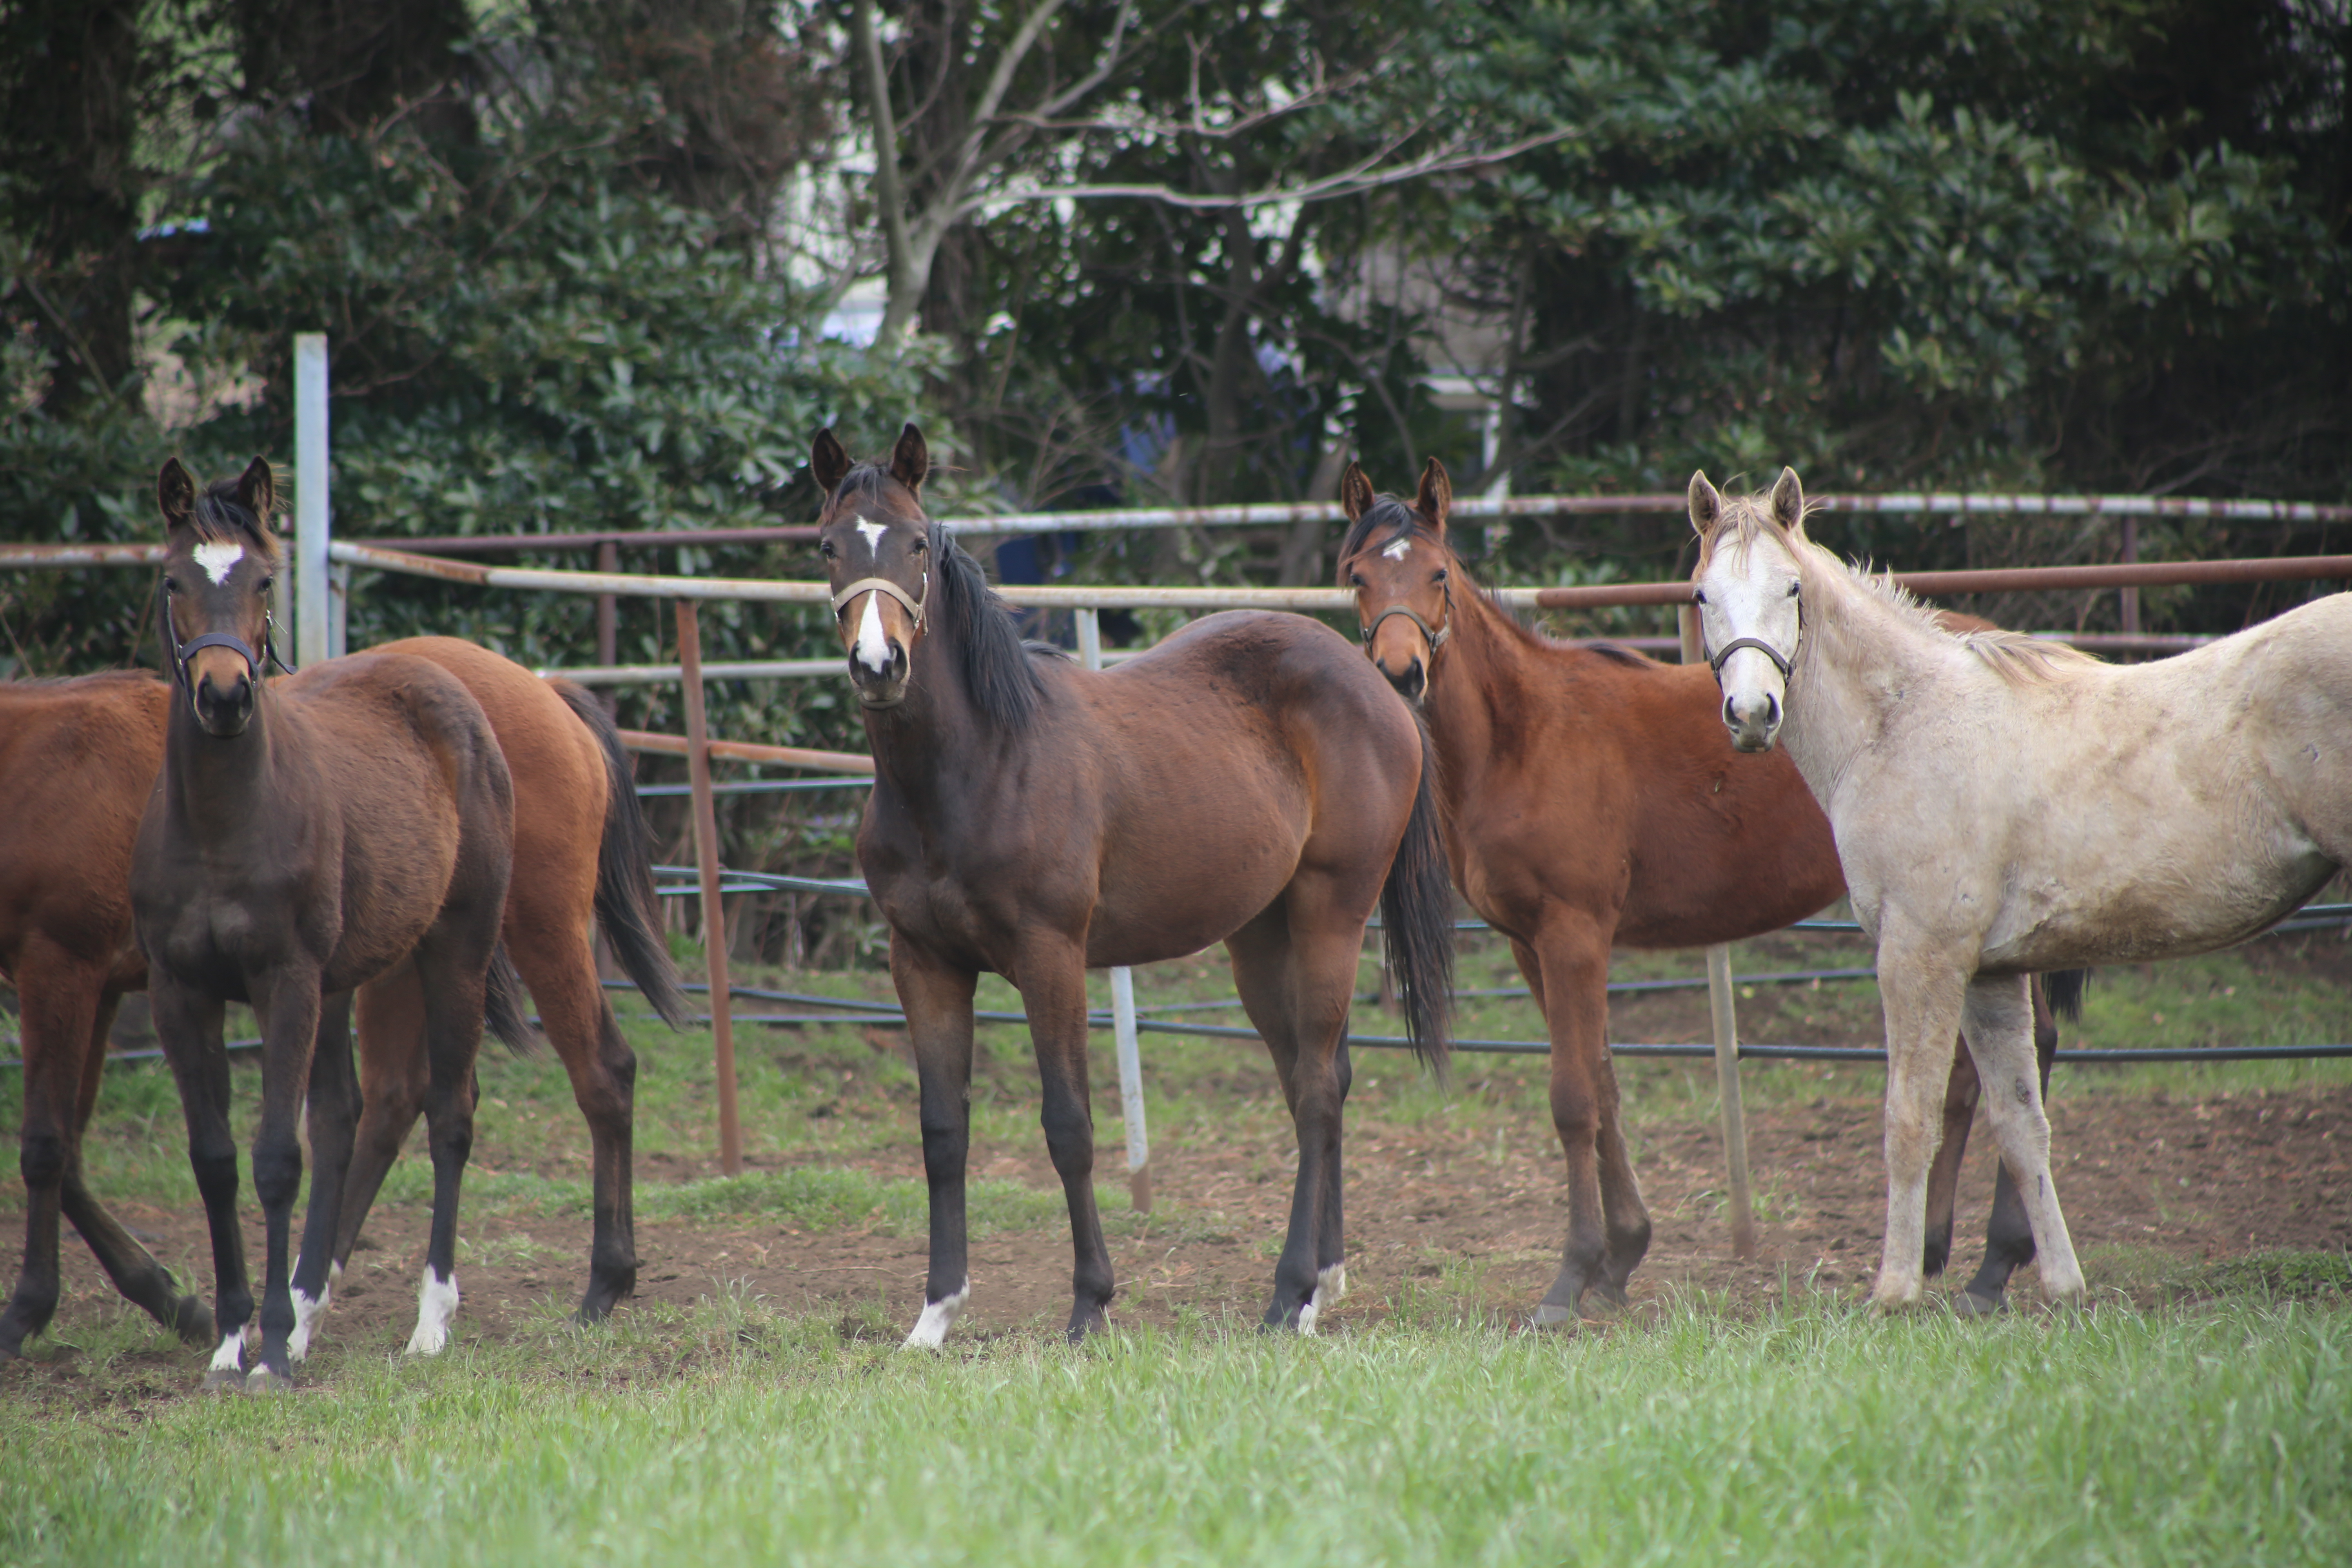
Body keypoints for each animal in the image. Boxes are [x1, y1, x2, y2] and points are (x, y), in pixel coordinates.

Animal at [138, 461, 524, 1392]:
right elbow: (216, 1161)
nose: (225, 696)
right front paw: (233, 1341)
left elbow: (279, 1157)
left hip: (451, 952)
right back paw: (311, 1309)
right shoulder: (180, 992)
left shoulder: (286, 981)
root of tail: (454, 693)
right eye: (172, 581)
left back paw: (429, 1321)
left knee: (449, 1110)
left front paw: (272, 1352)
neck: (221, 823)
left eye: (264, 580)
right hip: (348, 978)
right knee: (348, 1118)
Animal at [818, 430, 1458, 1354]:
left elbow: (1070, 1127)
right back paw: (1322, 1286)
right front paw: (934, 1316)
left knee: (1312, 1092)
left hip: (1331, 916)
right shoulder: (924, 964)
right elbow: (943, 1133)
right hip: (1259, 938)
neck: (975, 763)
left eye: (913, 545)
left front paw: (1090, 1304)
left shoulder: (1051, 958)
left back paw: (1289, 1296)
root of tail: (1379, 684)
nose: (879, 664)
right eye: (830, 548)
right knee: (1323, 1079)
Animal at [1345, 456, 2079, 1326]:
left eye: (1436, 575)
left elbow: (1573, 1099)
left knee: (2020, 1057)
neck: (1524, 736)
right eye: (1357, 578)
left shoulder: (1574, 935)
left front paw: (1571, 1277)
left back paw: (1995, 1263)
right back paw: (1942, 1249)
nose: (1400, 674)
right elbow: (1603, 1086)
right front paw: (1621, 1255)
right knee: (1978, 1074)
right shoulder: (1533, 945)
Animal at [1693, 470, 2352, 1316]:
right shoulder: (1991, 974)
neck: (1901, 723)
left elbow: (1909, 1119)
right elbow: (2019, 1124)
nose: (1751, 714)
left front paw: (1895, 1290)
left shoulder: (1921, 956)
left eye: (1792, 587)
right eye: (1703, 594)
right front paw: (2063, 1286)